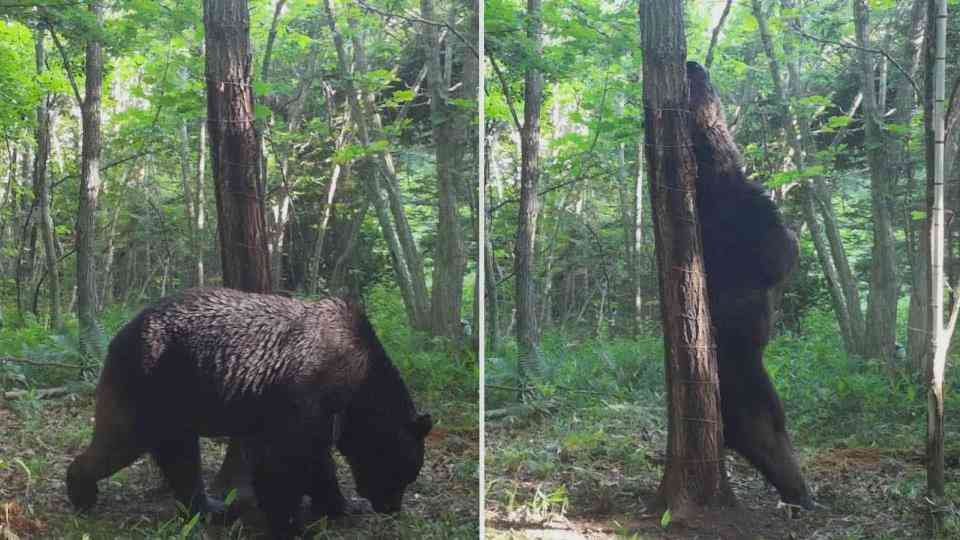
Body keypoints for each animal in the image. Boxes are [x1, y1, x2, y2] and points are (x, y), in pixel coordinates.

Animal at [66, 287, 432, 538]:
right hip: (150, 382)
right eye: (404, 472)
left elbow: (314, 460)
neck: (358, 384)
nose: (391, 507)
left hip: (176, 401)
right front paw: (291, 524)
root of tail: (121, 332)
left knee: (180, 456)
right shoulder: (307, 393)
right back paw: (81, 491)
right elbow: (287, 460)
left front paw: (340, 504)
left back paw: (209, 507)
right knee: (122, 440)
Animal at [686, 61, 814, 510]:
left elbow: (782, 252)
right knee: (770, 440)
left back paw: (801, 495)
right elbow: (780, 251)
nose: (693, 63)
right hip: (748, 394)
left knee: (773, 441)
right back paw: (800, 494)